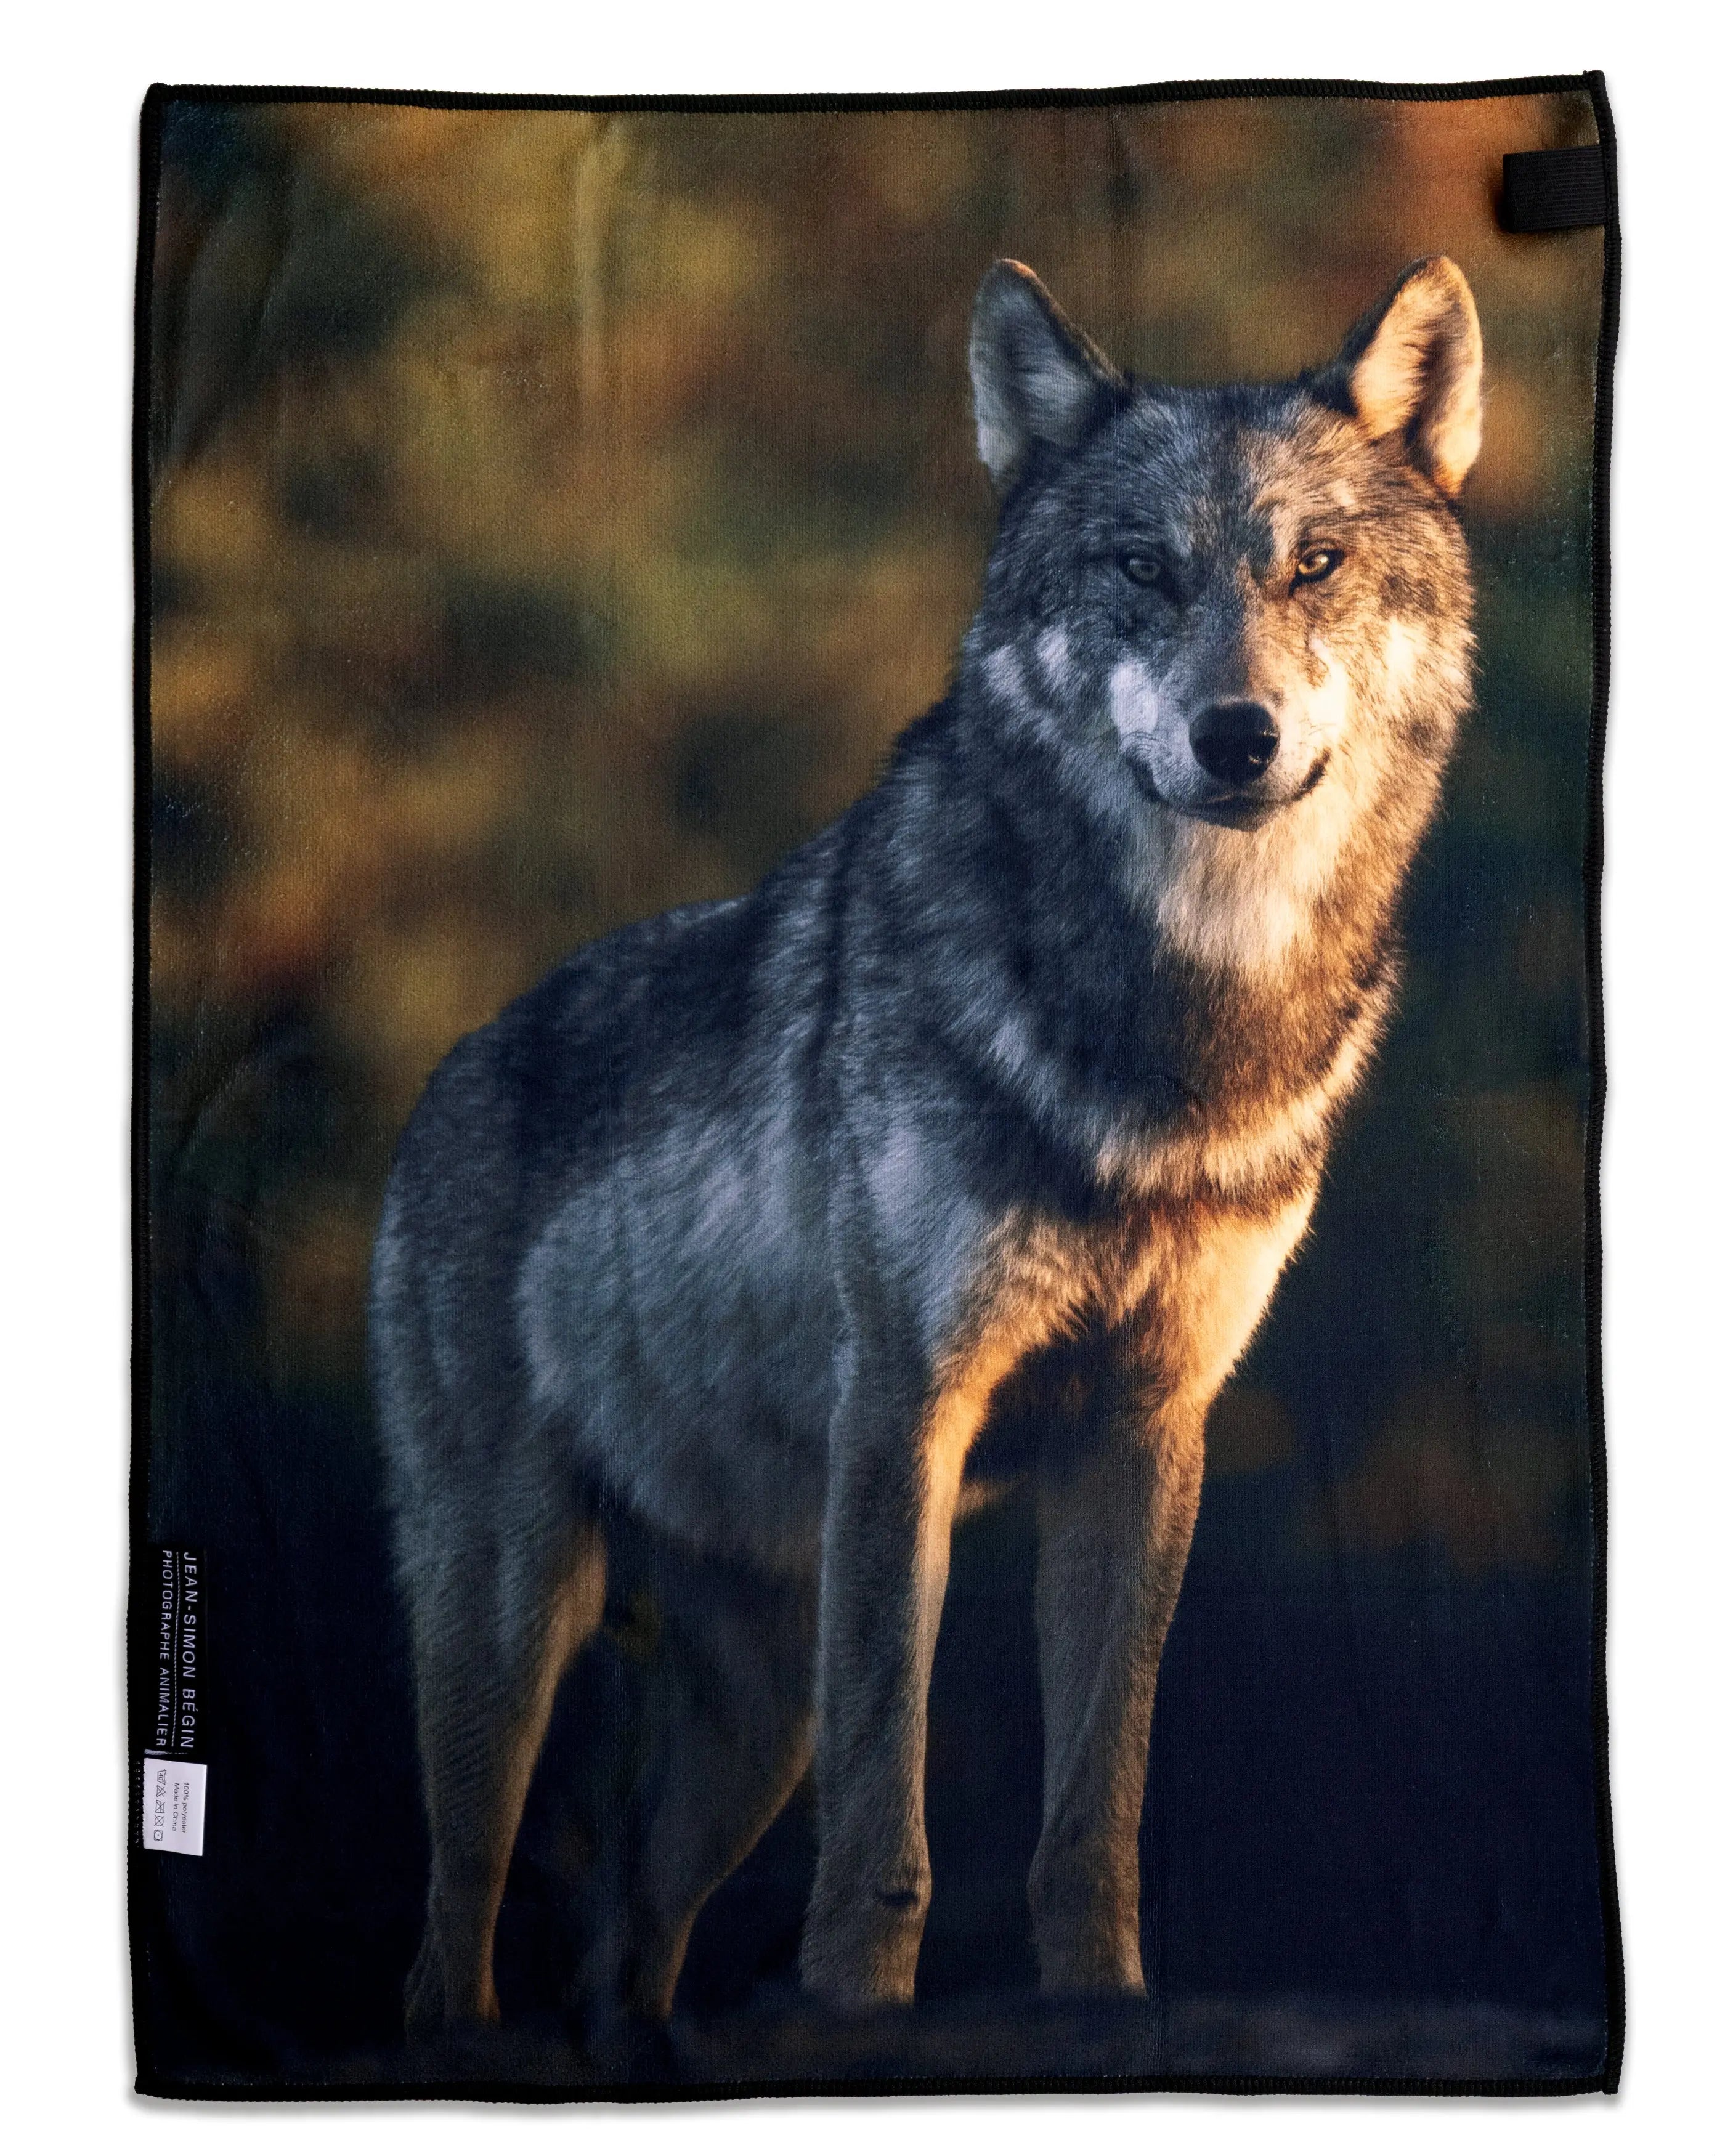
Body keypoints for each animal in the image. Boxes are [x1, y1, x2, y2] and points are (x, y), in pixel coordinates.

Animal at [371, 253, 1483, 2035]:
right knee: (456, 1919)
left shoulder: (1144, 1432)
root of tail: (456, 1064)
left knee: (628, 1929)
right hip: (510, 1608)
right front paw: (855, 2015)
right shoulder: (910, 1407)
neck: (1169, 1032)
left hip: (753, 1719)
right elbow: (890, 1803)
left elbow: (1095, 1803)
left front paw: (1102, 2010)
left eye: (1314, 566)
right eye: (1140, 569)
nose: (1234, 736)